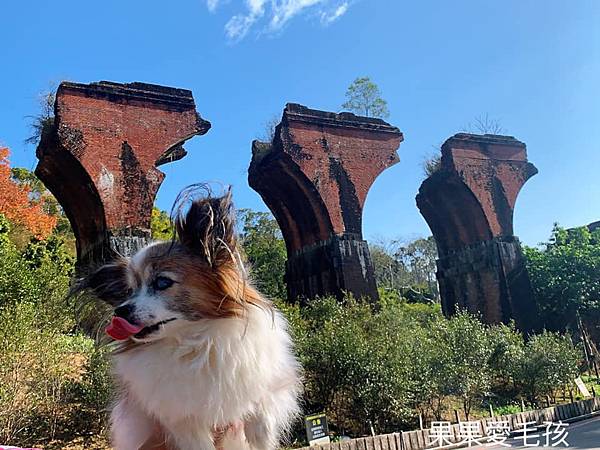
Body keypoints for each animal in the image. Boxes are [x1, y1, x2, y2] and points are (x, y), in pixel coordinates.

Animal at [77, 190, 302, 450]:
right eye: (129, 292)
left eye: (162, 282)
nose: (120, 311)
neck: (197, 342)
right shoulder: (184, 423)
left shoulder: (268, 386)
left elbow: (262, 417)